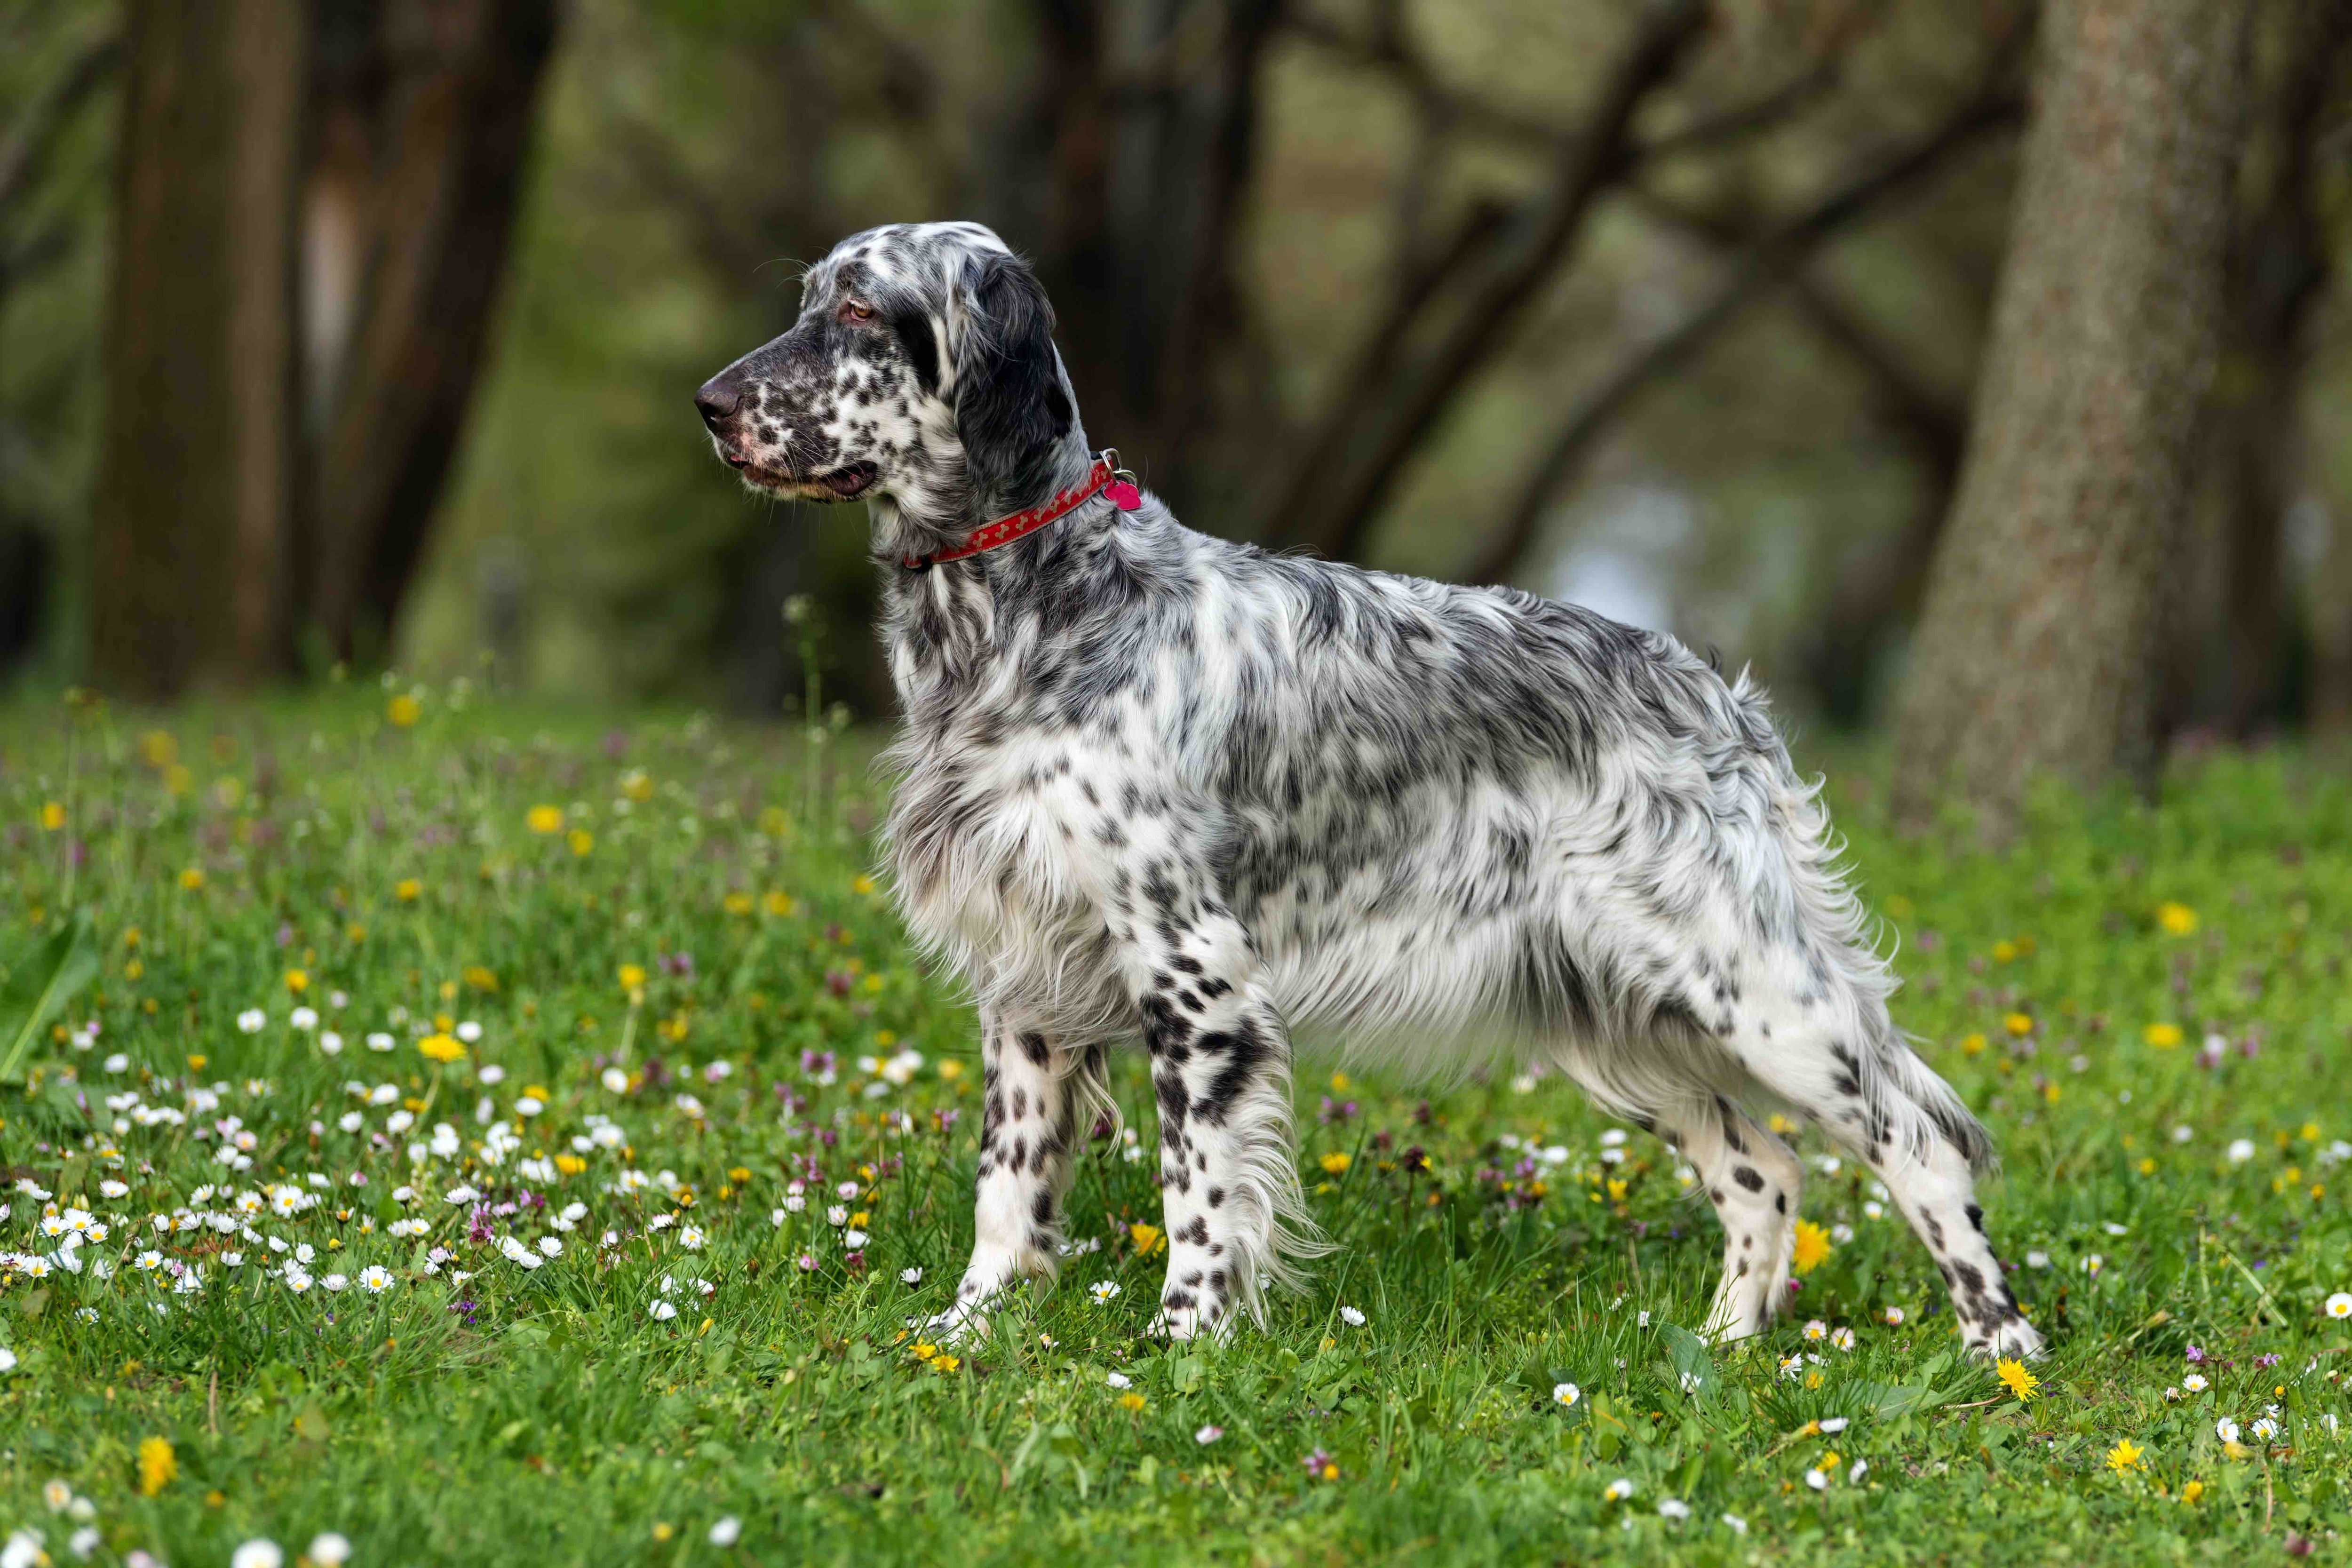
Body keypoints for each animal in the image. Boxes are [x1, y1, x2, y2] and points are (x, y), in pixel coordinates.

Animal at [691, 221, 2042, 1363]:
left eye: (860, 310)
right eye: (808, 299)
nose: (708, 406)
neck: (1038, 607)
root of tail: (1714, 688)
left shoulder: (1195, 975)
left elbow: (1198, 1189)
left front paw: (1182, 1345)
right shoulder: (1027, 980)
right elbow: (1008, 1189)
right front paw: (968, 1332)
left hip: (1757, 993)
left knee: (1920, 1138)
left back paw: (2003, 1348)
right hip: (1616, 1018)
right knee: (1764, 1172)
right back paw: (1722, 1348)